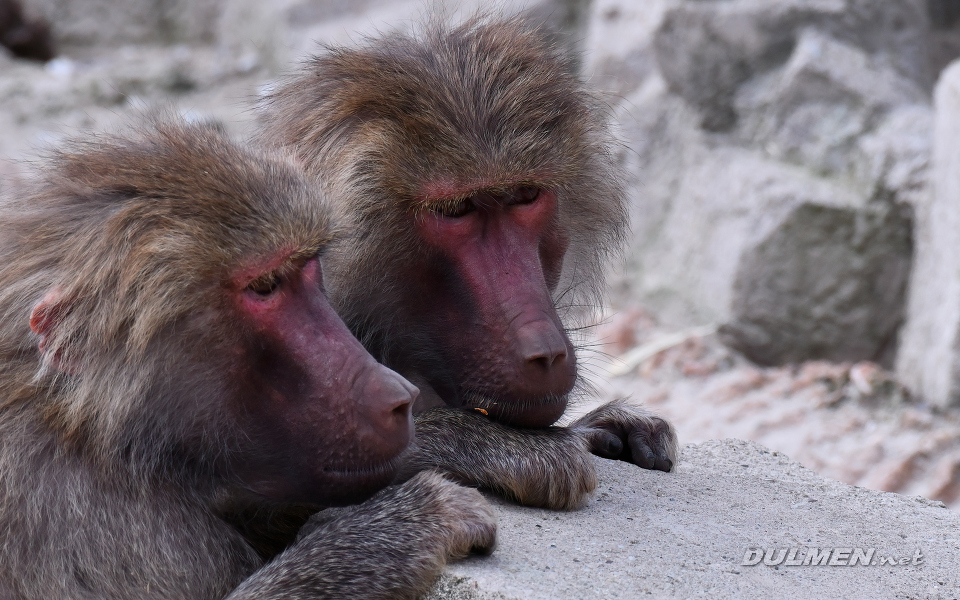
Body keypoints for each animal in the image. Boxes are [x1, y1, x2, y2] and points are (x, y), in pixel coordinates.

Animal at [0, 118, 495, 600]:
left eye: (306, 267)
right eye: (264, 287)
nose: (398, 396)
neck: (90, 431)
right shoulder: (95, 525)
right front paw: (407, 523)